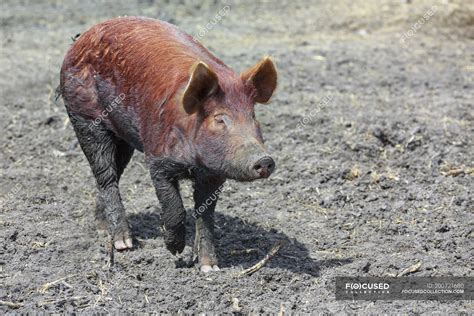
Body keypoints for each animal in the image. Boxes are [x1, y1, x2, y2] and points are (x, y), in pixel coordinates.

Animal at [61, 16, 280, 272]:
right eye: (219, 119)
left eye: (253, 116)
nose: (264, 160)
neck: (194, 162)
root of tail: (82, 38)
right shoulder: (158, 161)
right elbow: (175, 207)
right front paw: (174, 250)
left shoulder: (214, 173)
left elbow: (206, 216)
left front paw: (209, 267)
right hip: (84, 119)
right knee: (105, 175)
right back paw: (124, 244)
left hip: (123, 137)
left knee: (112, 174)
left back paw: (102, 228)